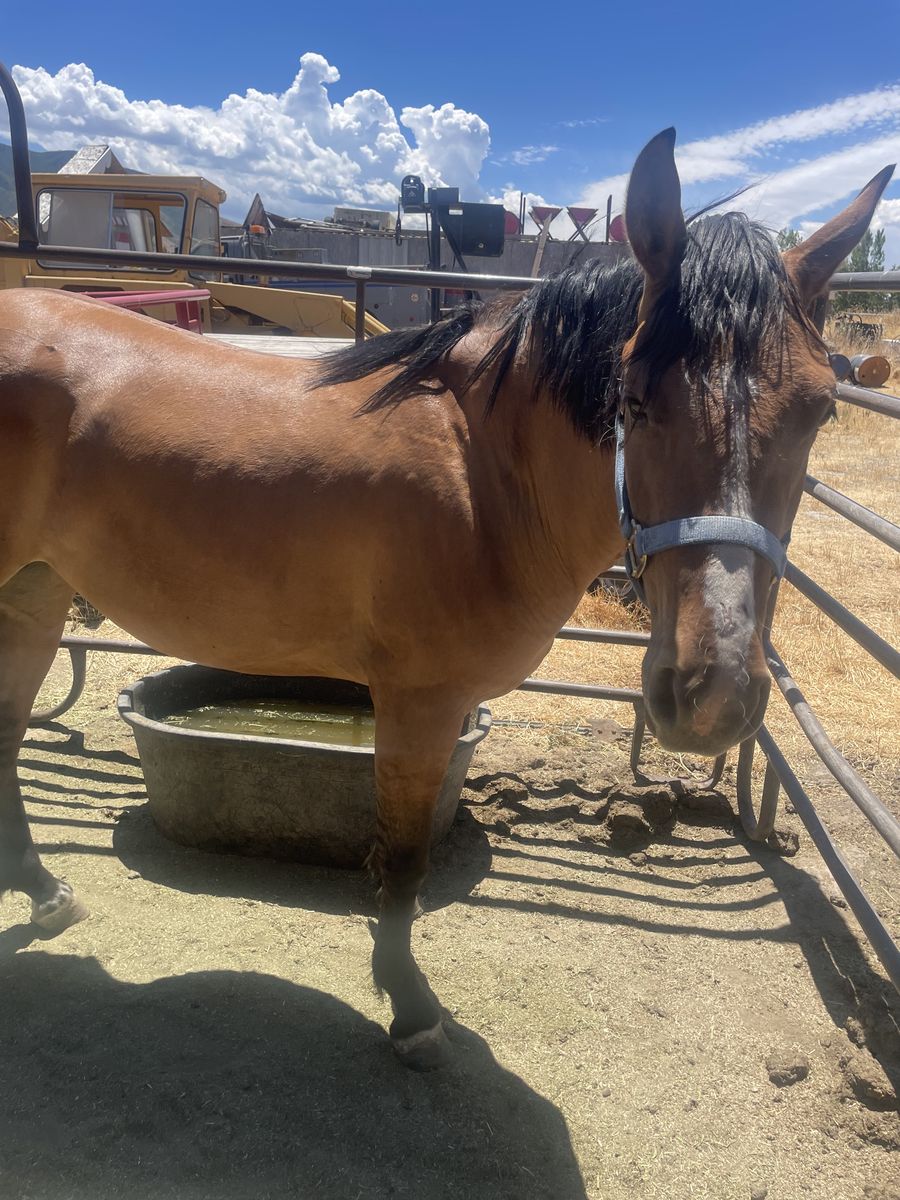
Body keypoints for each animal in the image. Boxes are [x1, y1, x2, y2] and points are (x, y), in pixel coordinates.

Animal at [0, 129, 891, 1068]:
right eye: (635, 400)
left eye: (823, 412)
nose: (712, 694)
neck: (482, 476)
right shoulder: (417, 703)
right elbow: (402, 861)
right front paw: (411, 1009)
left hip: (34, 593)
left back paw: (44, 892)